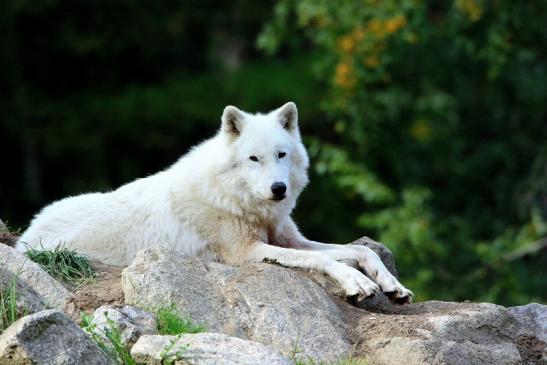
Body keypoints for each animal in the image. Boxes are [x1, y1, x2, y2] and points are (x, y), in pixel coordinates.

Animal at [16, 101, 412, 302]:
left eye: (281, 155)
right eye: (254, 159)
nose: (279, 189)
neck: (238, 199)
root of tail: (24, 236)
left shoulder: (289, 239)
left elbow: (360, 250)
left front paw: (393, 285)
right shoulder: (245, 253)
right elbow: (322, 260)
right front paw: (357, 283)